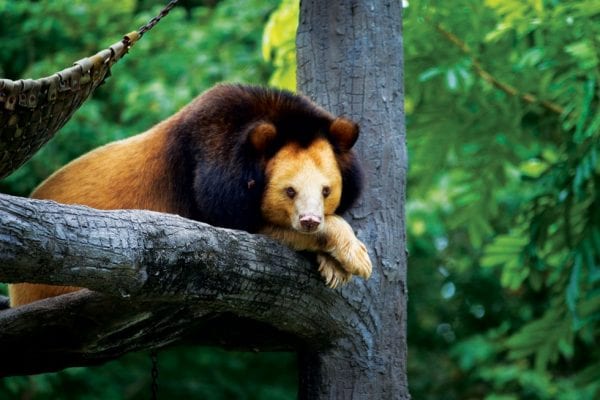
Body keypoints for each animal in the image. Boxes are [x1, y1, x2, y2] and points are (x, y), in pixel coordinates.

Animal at [8, 83, 370, 306]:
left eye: (326, 190)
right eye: (289, 191)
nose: (309, 221)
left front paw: (334, 267)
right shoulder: (210, 175)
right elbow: (238, 224)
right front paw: (355, 257)